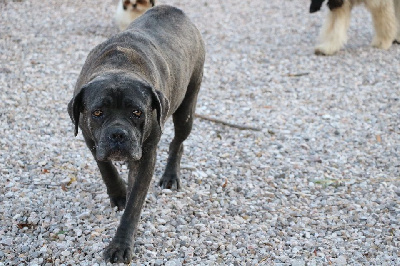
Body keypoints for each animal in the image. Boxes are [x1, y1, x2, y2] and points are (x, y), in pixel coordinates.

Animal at [67, 5, 205, 262]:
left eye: (137, 112)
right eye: (97, 112)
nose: (118, 134)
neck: (119, 67)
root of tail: (174, 10)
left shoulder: (145, 157)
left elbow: (134, 206)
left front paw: (120, 245)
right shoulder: (91, 141)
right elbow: (107, 170)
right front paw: (119, 194)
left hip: (186, 110)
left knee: (178, 142)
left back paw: (171, 176)